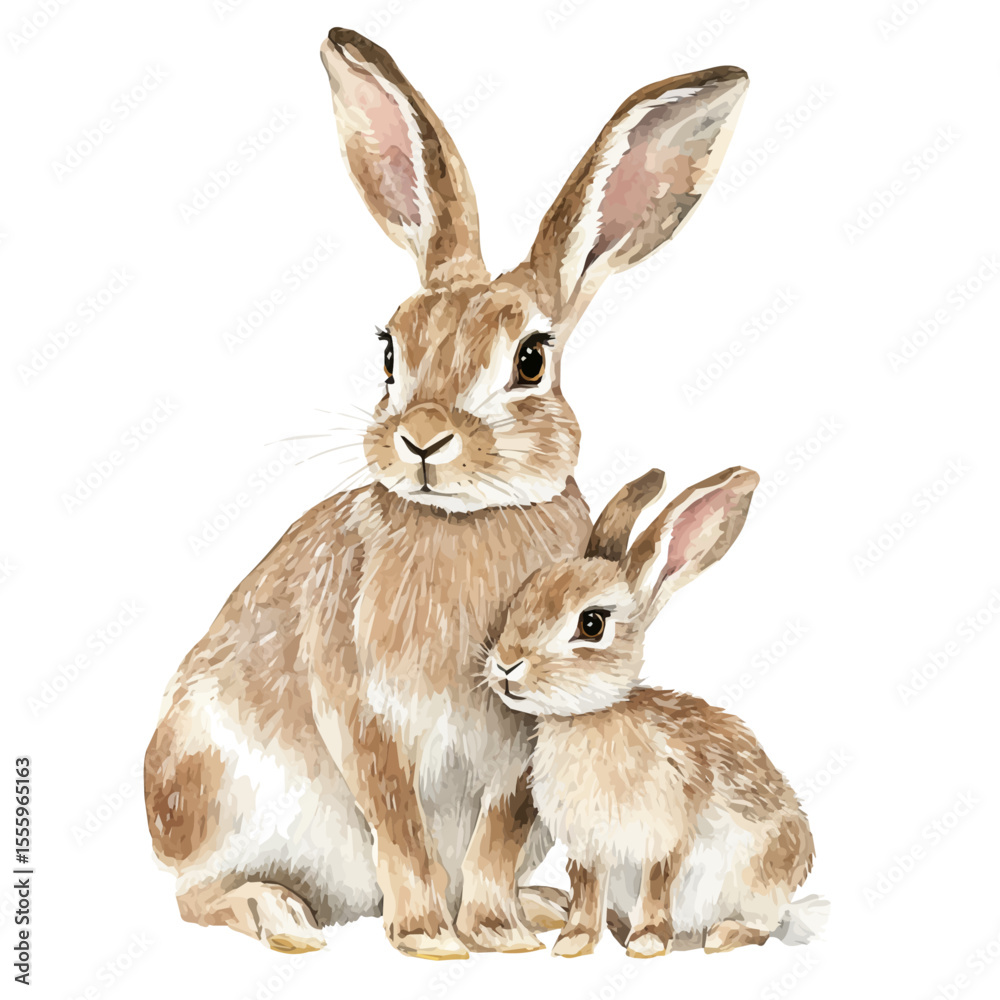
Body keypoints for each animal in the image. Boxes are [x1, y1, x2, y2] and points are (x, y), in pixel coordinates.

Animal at [143, 27, 749, 960]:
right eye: (390, 348)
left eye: (531, 359)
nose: (422, 437)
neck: (463, 520)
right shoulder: (361, 712)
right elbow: (398, 824)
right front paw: (430, 938)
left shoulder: (521, 747)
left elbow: (495, 839)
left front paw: (497, 932)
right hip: (215, 791)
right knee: (197, 895)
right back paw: (280, 915)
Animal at [485, 468, 828, 958]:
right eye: (524, 594)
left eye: (592, 624)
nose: (506, 665)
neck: (588, 720)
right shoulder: (588, 847)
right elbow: (587, 890)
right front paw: (574, 942)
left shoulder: (665, 837)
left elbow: (656, 887)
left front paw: (646, 943)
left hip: (764, 881)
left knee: (762, 925)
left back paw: (720, 936)